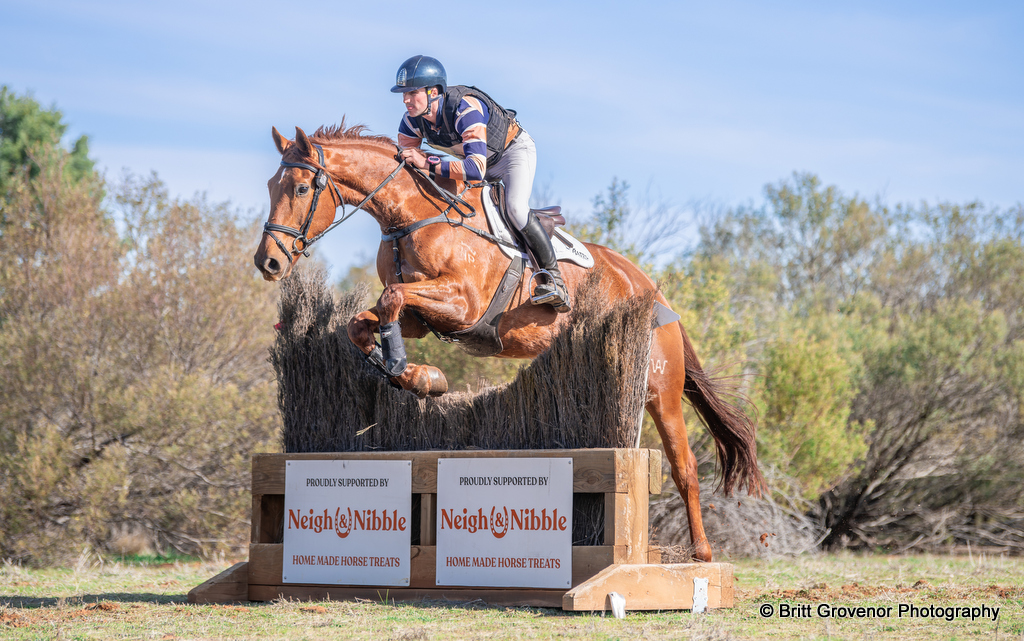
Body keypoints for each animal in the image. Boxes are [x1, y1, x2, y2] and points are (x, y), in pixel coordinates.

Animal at [253, 123, 764, 562]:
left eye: (301, 189)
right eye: (270, 186)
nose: (268, 263)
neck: (414, 216)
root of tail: (652, 290)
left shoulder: (463, 303)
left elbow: (392, 297)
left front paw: (409, 371)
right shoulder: (421, 316)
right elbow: (364, 323)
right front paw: (419, 378)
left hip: (659, 388)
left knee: (684, 467)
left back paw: (702, 554)